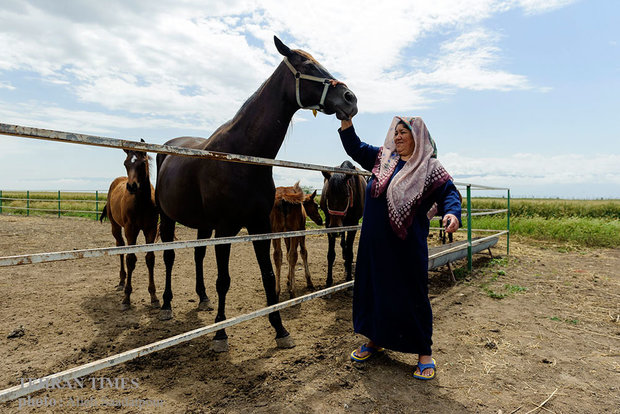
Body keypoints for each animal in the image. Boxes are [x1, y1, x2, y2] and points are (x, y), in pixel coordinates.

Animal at [100, 141, 159, 308]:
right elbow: (131, 259)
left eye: (142, 163)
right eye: (126, 163)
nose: (131, 186)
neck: (142, 203)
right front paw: (126, 297)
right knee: (120, 247)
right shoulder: (131, 230)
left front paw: (154, 296)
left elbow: (150, 259)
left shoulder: (151, 229)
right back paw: (121, 281)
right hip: (115, 226)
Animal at [155, 36, 358, 352]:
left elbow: (269, 274)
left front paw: (280, 329)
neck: (243, 155)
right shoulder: (226, 228)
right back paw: (166, 305)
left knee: (198, 256)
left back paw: (202, 298)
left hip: (203, 225)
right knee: (168, 258)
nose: (350, 98)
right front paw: (220, 334)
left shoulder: (259, 225)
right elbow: (224, 280)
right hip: (167, 218)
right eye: (309, 65)